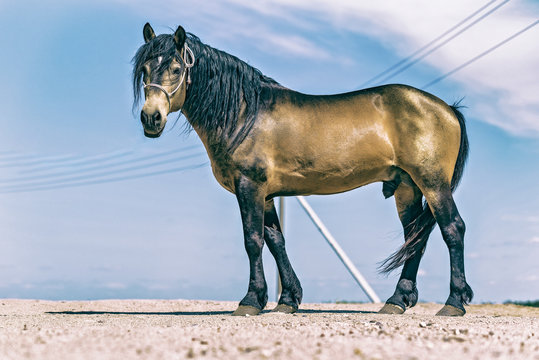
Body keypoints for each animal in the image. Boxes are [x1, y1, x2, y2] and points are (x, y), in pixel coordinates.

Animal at [133, 23, 474, 316]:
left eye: (176, 68)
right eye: (145, 69)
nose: (151, 118)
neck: (245, 113)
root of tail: (448, 109)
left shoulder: (249, 186)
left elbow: (252, 240)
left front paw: (250, 301)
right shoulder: (266, 194)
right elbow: (275, 241)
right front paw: (287, 299)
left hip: (432, 183)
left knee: (452, 228)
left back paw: (454, 302)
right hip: (407, 187)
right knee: (415, 238)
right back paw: (397, 300)